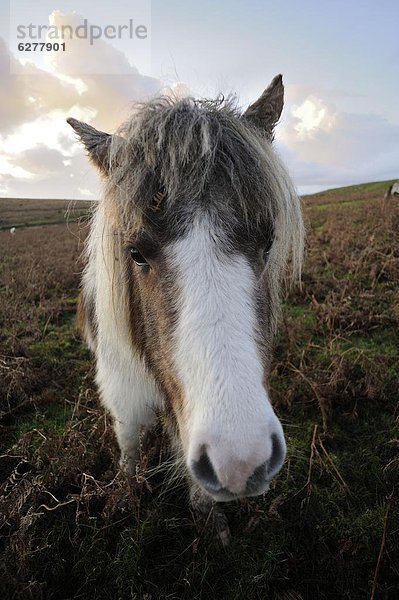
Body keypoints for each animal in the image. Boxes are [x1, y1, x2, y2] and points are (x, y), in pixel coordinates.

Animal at [69, 75, 304, 512]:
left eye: (268, 244)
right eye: (135, 253)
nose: (239, 462)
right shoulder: (124, 398)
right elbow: (129, 449)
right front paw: (128, 494)